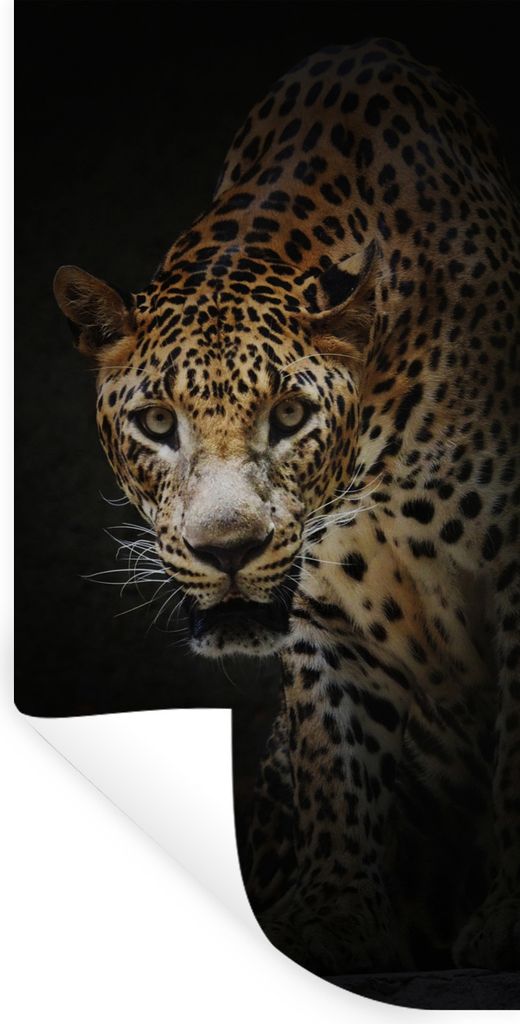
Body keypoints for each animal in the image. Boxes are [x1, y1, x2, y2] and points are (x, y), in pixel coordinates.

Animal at [54, 38, 520, 973]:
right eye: (156, 423)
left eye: (292, 416)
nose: (227, 550)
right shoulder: (321, 606)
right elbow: (335, 755)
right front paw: (335, 917)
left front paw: (510, 918)